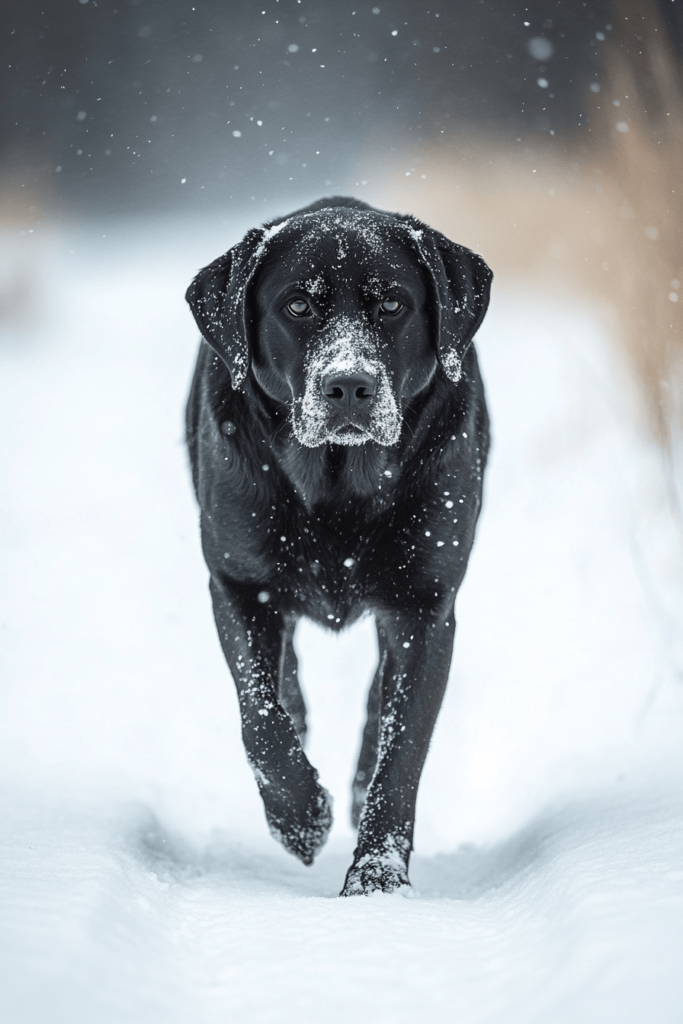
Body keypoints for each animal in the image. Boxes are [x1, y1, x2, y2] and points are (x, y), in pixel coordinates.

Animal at [184, 195, 491, 892]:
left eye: (393, 304)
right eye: (298, 305)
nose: (348, 385)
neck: (338, 483)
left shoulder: (424, 606)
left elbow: (402, 750)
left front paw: (376, 878)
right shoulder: (238, 585)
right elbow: (259, 716)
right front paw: (301, 818)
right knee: (284, 687)